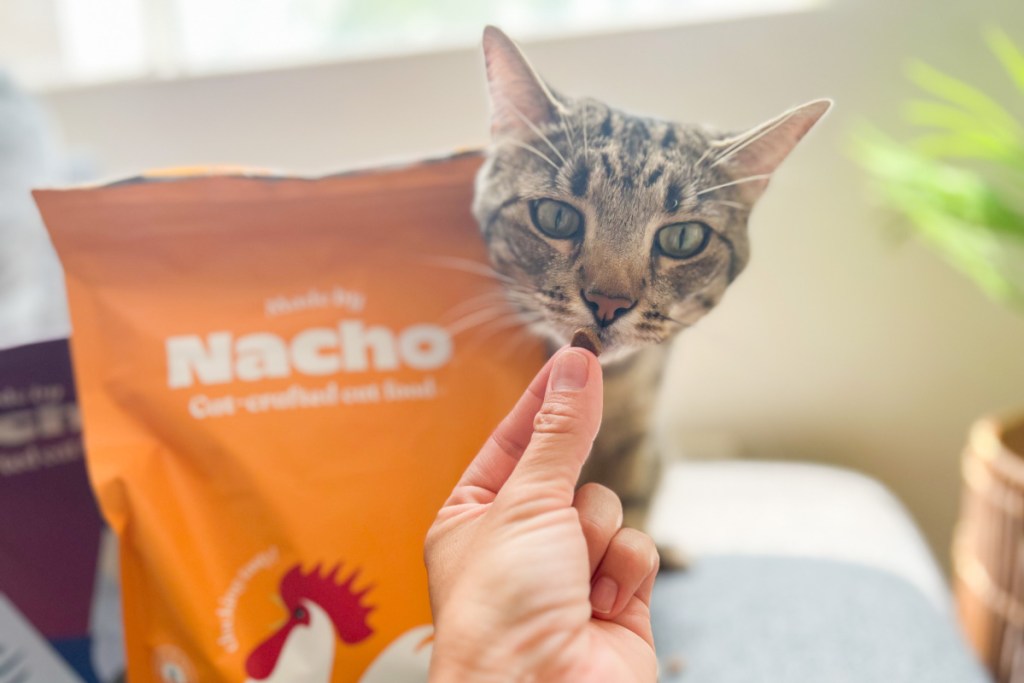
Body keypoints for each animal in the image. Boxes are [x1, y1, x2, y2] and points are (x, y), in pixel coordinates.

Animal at [471, 26, 831, 557]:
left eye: (682, 238)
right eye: (555, 217)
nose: (609, 302)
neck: (617, 390)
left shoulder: (639, 446)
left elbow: (631, 508)